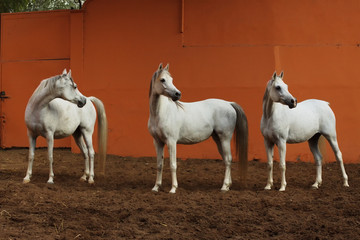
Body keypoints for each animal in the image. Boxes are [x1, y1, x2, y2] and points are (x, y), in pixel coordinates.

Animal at [148, 63, 248, 193]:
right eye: (163, 80)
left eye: (171, 79)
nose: (177, 94)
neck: (161, 113)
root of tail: (229, 103)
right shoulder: (158, 142)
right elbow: (159, 164)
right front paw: (156, 187)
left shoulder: (171, 142)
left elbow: (173, 165)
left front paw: (173, 189)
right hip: (218, 139)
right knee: (226, 159)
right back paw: (228, 185)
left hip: (225, 138)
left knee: (228, 159)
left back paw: (224, 187)